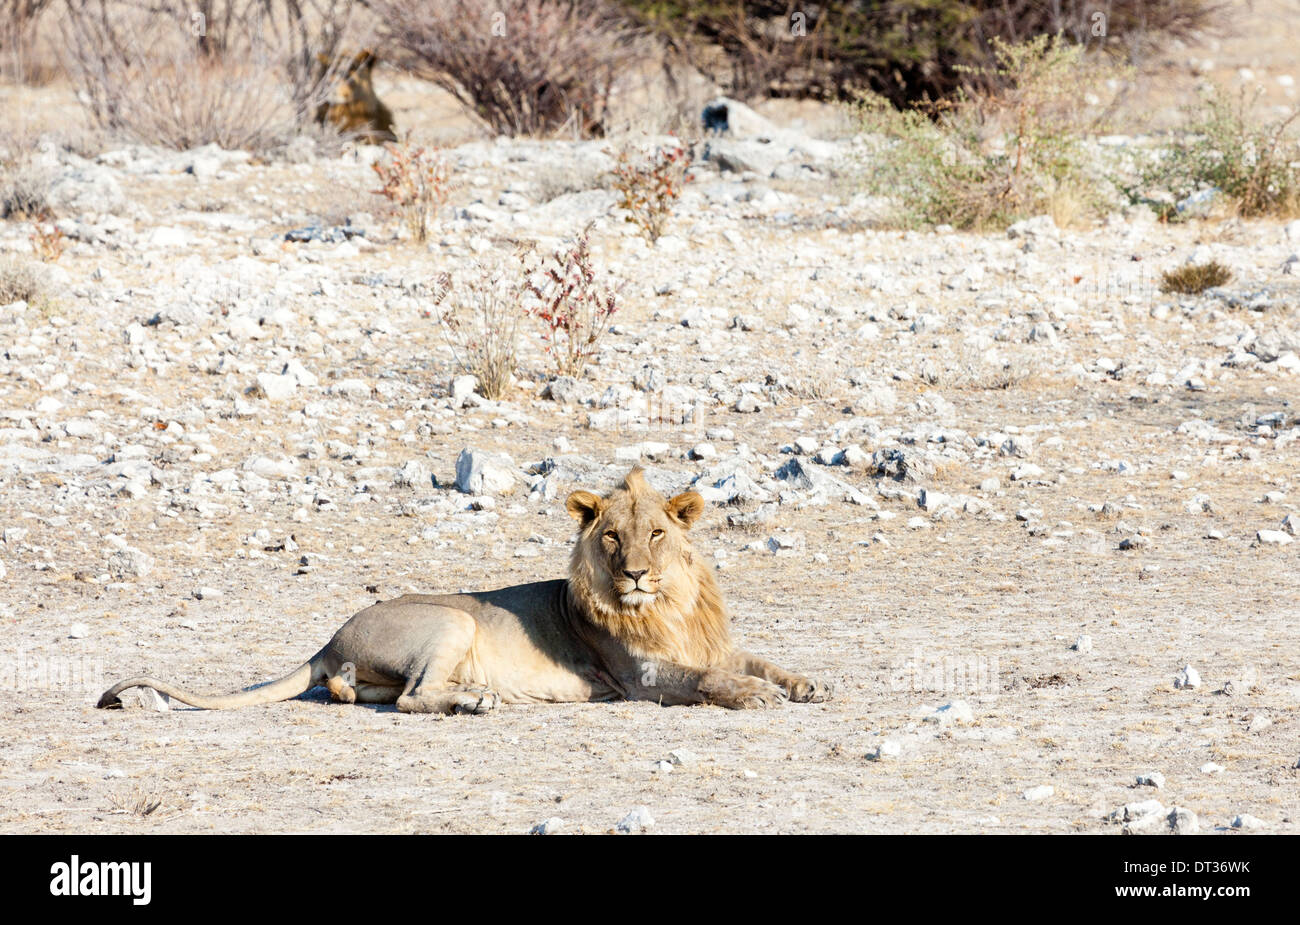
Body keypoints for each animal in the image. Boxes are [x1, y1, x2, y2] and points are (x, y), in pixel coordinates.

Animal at [98, 470, 832, 717]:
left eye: (655, 532)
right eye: (612, 538)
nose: (634, 575)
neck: (669, 603)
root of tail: (330, 635)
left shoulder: (711, 644)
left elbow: (757, 659)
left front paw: (806, 683)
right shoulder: (638, 676)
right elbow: (707, 679)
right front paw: (754, 695)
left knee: (364, 692)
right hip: (452, 623)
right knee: (412, 698)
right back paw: (474, 701)